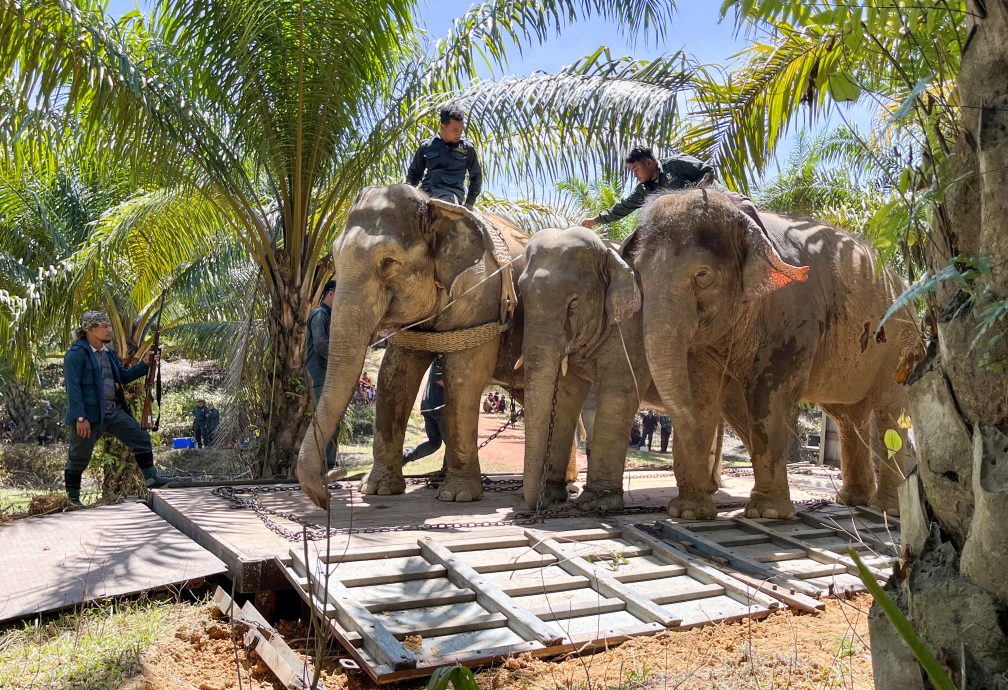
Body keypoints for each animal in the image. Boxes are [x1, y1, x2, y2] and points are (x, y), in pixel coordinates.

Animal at [294, 183, 528, 505]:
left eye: (388, 263)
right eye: (334, 257)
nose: (325, 496)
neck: (434, 206)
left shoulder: (482, 296)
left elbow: (463, 378)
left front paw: (457, 496)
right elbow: (394, 375)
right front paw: (377, 489)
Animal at [628, 188, 923, 515]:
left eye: (702, 276)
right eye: (637, 275)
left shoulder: (793, 314)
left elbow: (768, 394)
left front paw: (766, 513)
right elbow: (701, 395)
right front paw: (689, 512)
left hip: (899, 345)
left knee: (888, 411)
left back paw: (886, 510)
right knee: (848, 417)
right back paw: (852, 500)